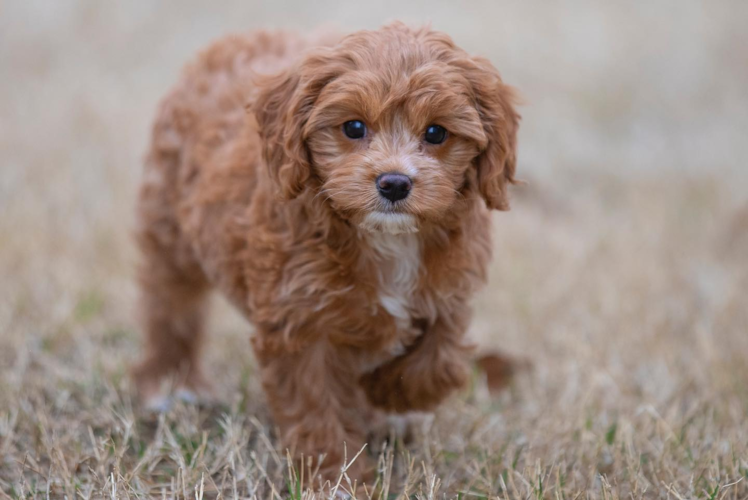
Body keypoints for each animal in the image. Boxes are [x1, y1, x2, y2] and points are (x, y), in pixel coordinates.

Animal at [133, 22, 520, 480]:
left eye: (436, 132)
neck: (387, 238)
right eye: (353, 127)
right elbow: (317, 410)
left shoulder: (451, 288)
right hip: (169, 228)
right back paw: (173, 383)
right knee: (171, 307)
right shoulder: (298, 321)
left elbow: (440, 358)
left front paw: (388, 394)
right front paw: (338, 478)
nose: (394, 182)